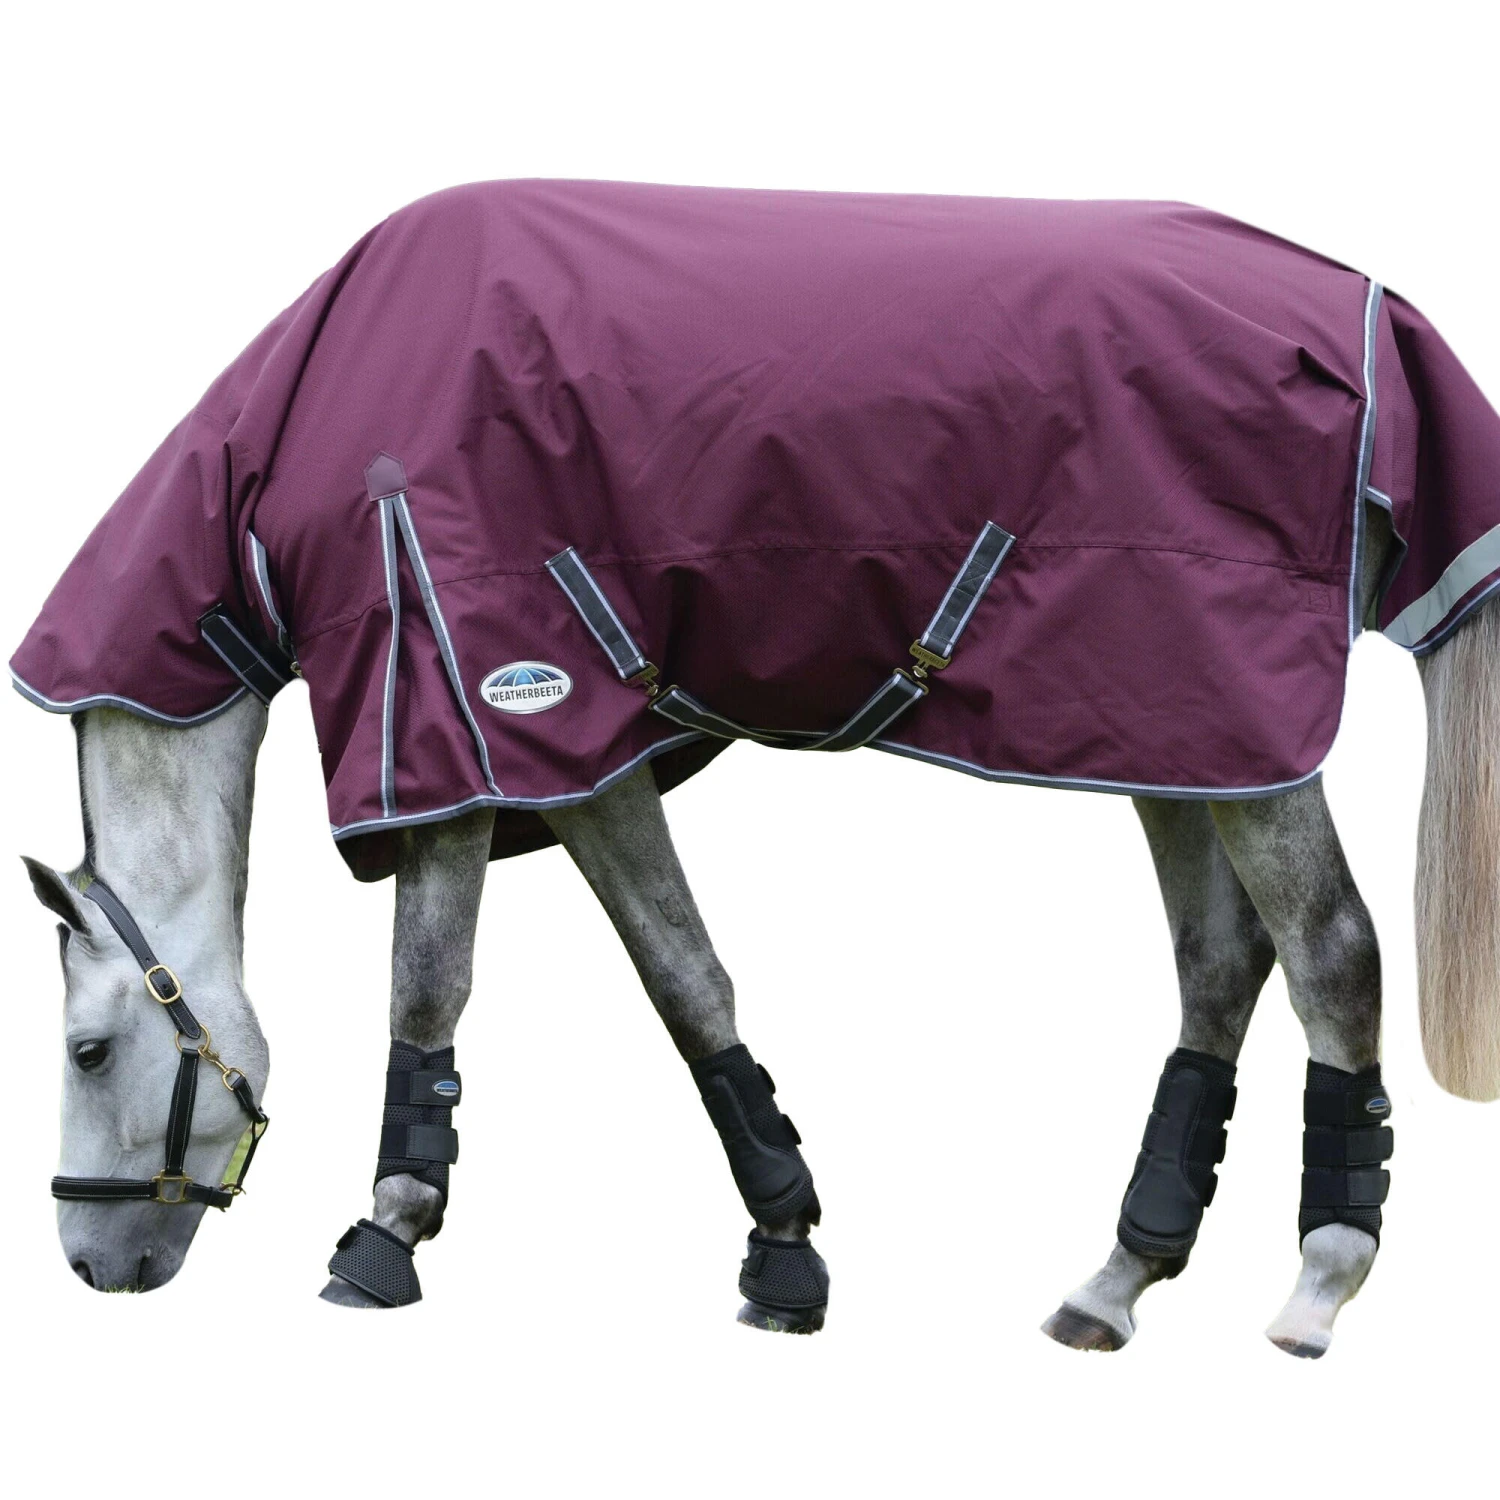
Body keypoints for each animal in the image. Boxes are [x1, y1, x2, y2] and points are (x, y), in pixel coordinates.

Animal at [16, 182, 1500, 1356]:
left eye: (87, 1049)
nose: (92, 1266)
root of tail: (1374, 322)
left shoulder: (459, 723)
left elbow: (429, 985)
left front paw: (383, 1235)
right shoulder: (576, 758)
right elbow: (686, 977)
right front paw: (787, 1252)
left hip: (1240, 735)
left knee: (1331, 953)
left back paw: (1321, 1279)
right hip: (1175, 727)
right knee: (1219, 961)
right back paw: (1119, 1277)